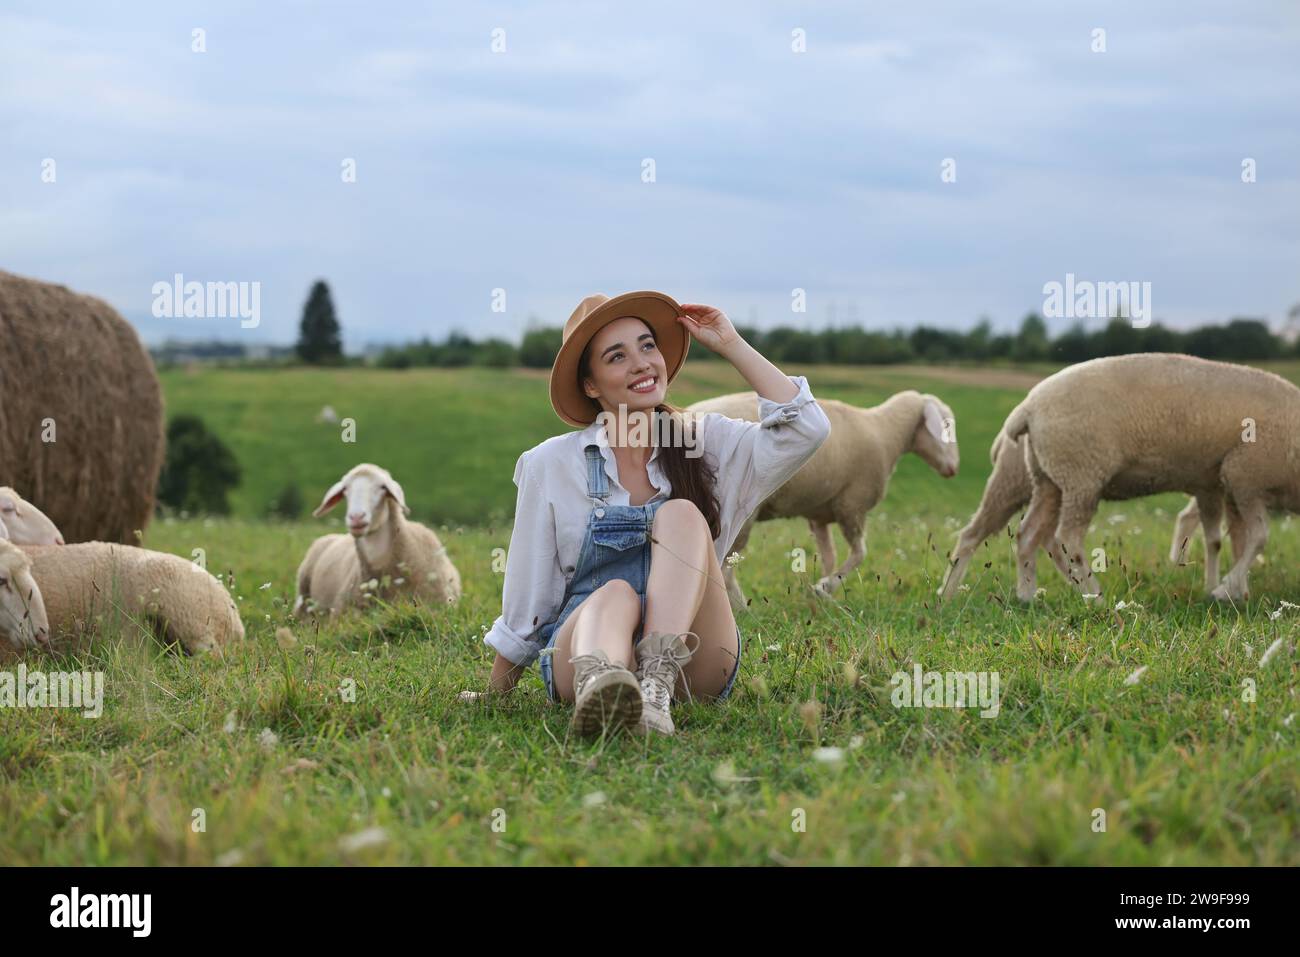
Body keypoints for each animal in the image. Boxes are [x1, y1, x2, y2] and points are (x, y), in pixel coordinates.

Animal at [686, 390, 961, 608]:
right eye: (946, 426)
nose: (954, 469)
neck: (886, 434)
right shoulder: (852, 506)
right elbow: (859, 553)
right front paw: (825, 587)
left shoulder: (819, 515)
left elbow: (829, 556)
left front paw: (821, 594)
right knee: (725, 568)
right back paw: (742, 608)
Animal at [935, 431, 1216, 600]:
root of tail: (1002, 439)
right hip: (1013, 485)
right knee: (973, 535)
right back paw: (947, 593)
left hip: (1048, 489)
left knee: (1044, 538)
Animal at [998, 356, 1294, 600]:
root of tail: (1027, 408)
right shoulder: (1245, 481)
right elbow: (1257, 538)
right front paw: (1226, 589)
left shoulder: (1211, 485)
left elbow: (1219, 541)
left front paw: (1220, 589)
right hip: (1081, 476)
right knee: (1068, 539)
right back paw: (1094, 596)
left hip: (1049, 479)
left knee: (1027, 534)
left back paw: (1027, 595)